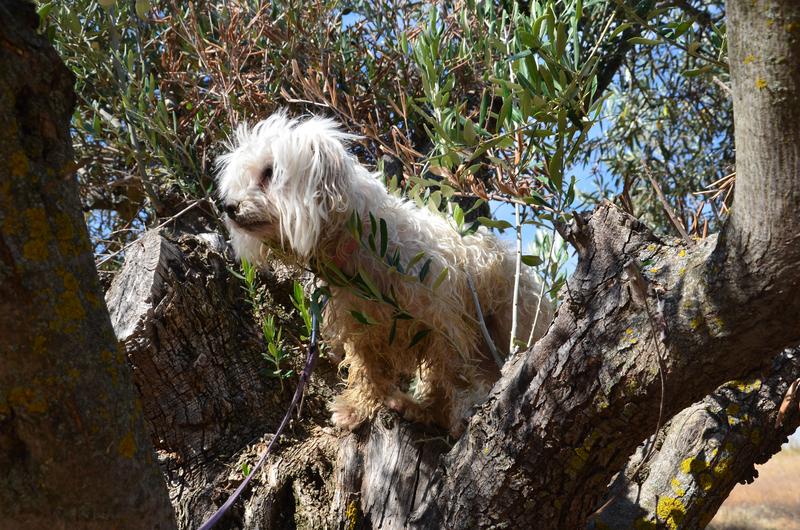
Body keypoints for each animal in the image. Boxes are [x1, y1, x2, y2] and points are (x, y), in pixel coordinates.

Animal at [216, 111, 552, 434]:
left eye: (269, 172)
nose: (229, 207)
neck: (362, 245)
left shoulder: (443, 322)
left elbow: (455, 372)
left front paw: (463, 408)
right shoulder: (362, 328)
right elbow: (368, 370)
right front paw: (356, 408)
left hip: (508, 321)